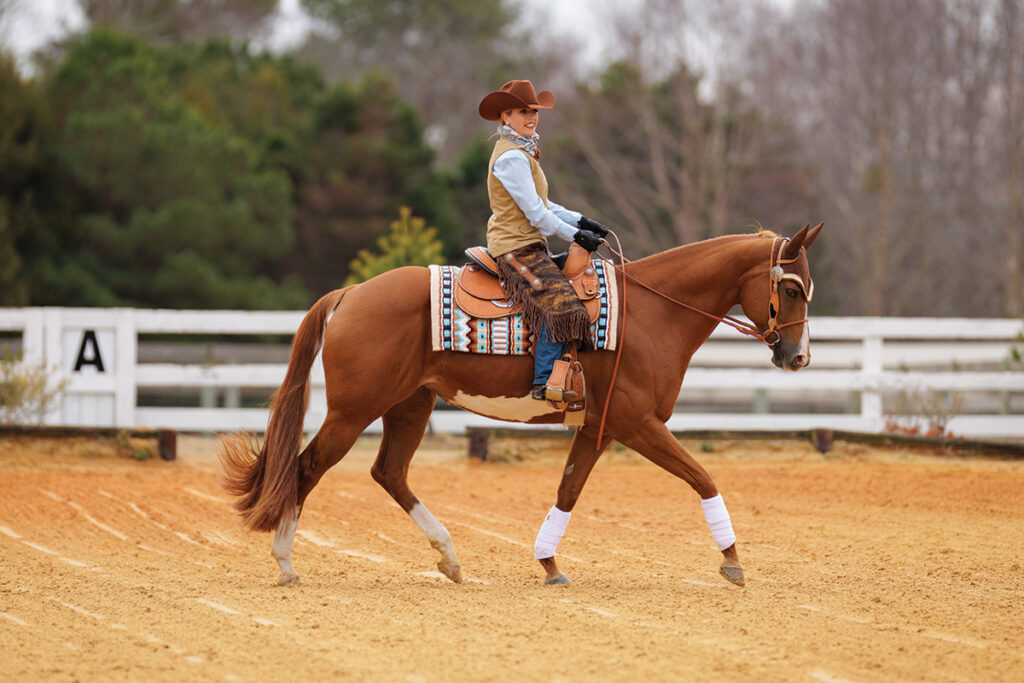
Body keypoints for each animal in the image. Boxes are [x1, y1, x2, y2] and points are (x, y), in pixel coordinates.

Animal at [220, 224, 819, 589]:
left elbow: (568, 491)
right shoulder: (637, 424)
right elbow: (703, 477)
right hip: (352, 412)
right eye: (790, 288)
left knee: (388, 472)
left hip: (409, 406)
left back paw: (449, 556)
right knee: (305, 467)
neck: (651, 314)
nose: (798, 356)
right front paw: (733, 561)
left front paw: (549, 564)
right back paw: (285, 562)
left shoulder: (599, 428)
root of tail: (349, 294)